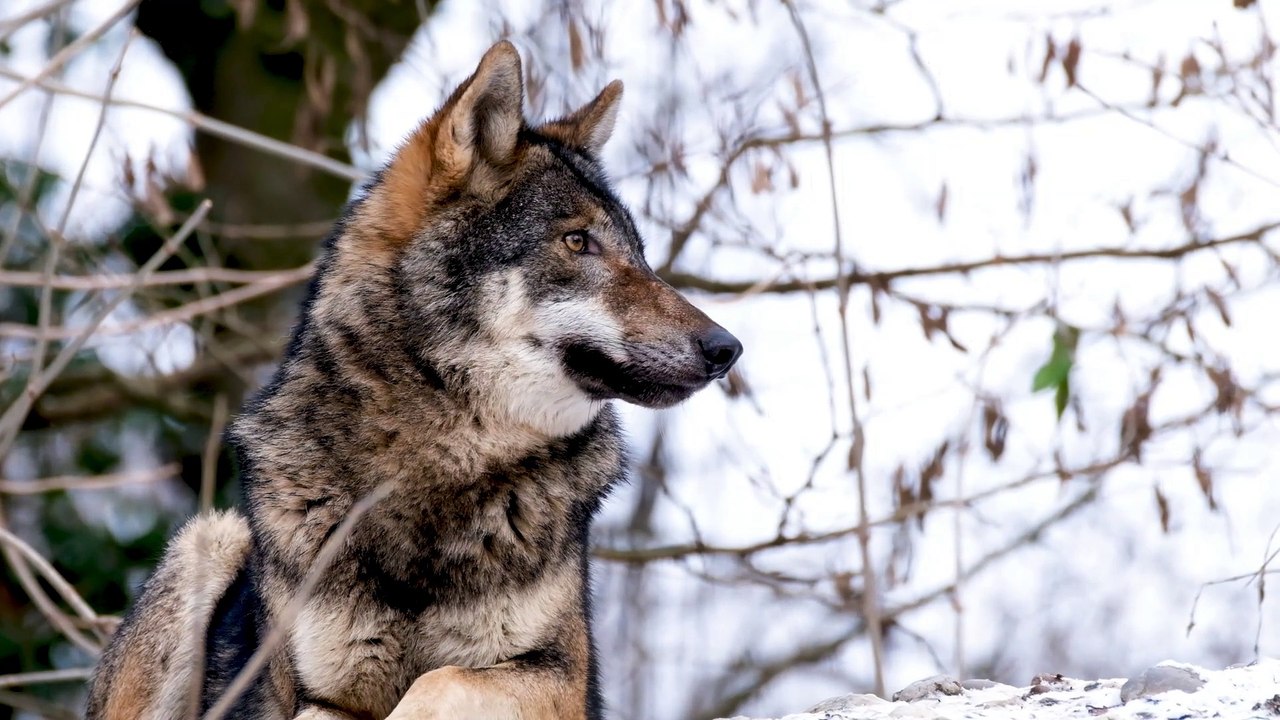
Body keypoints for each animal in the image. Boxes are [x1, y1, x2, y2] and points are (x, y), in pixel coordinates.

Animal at [85, 41, 741, 720]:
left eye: (640, 255)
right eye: (577, 241)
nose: (726, 349)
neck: (441, 466)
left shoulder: (560, 679)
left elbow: (438, 681)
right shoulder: (316, 695)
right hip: (209, 540)